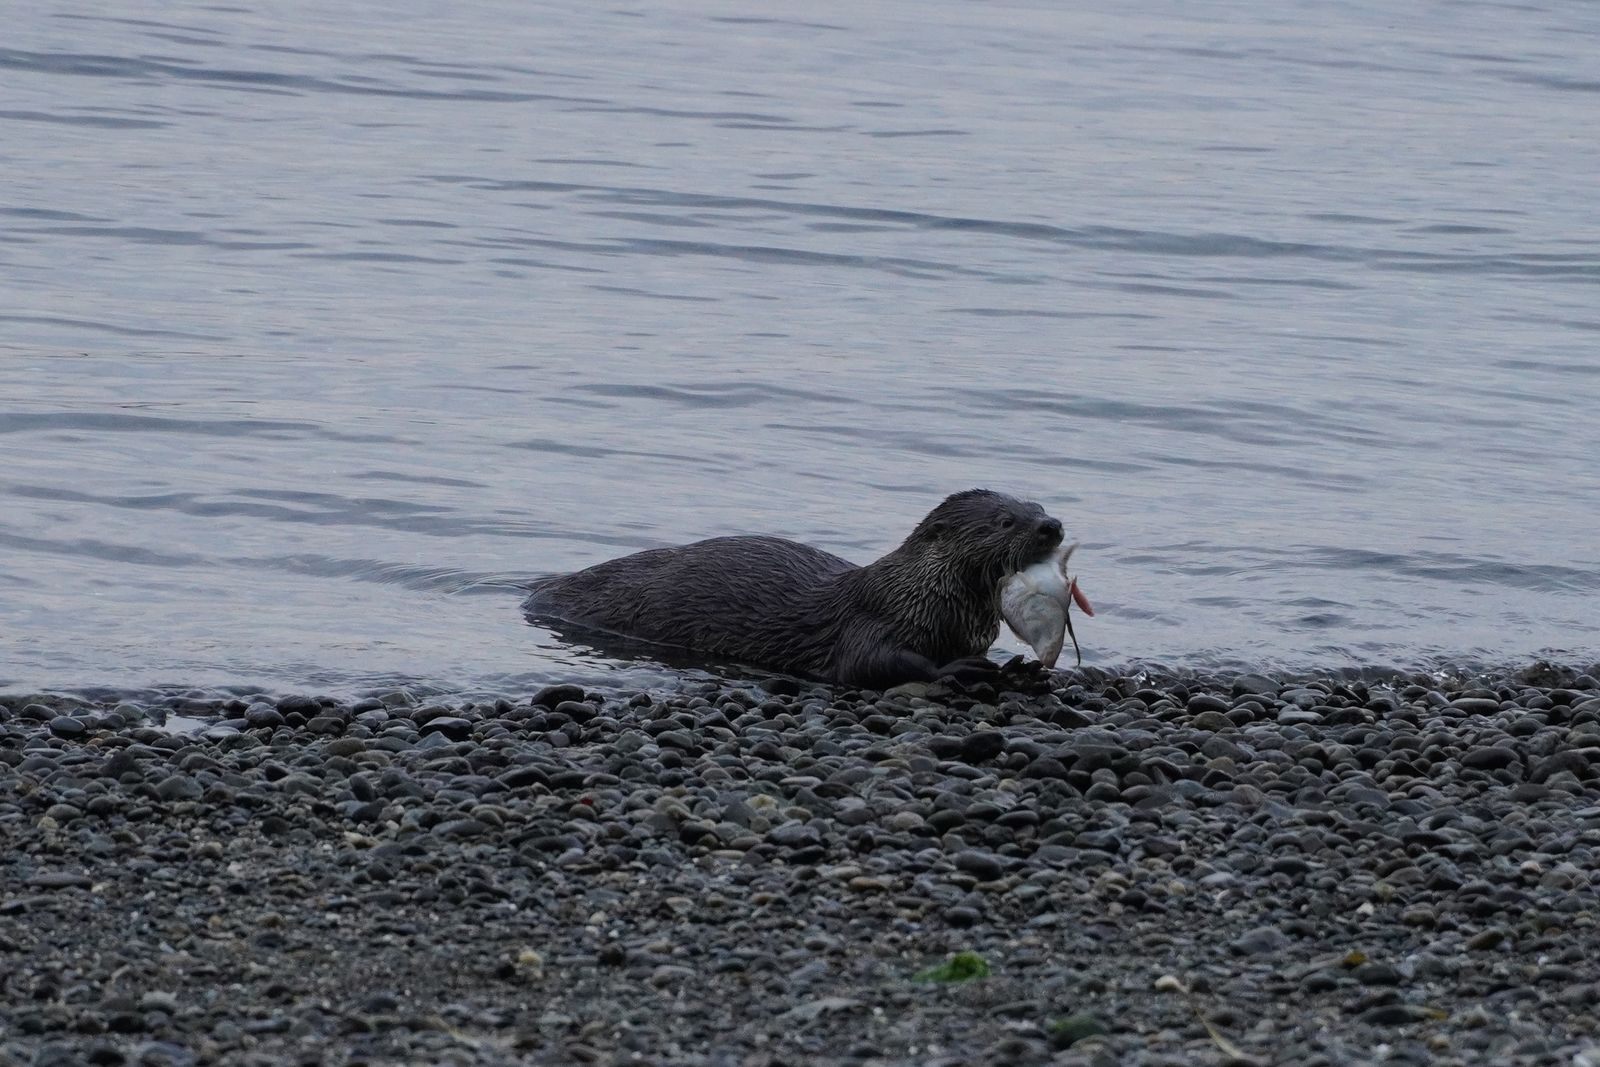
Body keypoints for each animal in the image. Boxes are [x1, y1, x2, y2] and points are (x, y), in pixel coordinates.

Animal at [523, 489, 1065, 689]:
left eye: (1038, 505)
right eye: (1005, 520)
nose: (1052, 525)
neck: (923, 597)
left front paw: (1016, 666)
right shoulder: (875, 619)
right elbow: (872, 664)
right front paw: (963, 668)